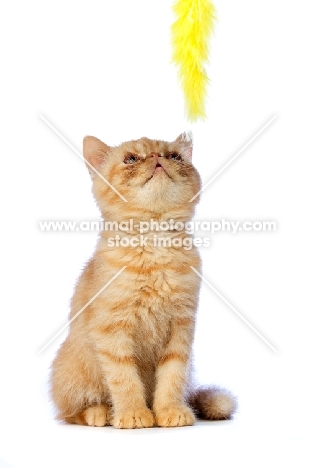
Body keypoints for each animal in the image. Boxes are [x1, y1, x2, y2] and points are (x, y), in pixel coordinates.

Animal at [49, 132, 236, 428]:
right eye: (131, 159)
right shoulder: (111, 330)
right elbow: (124, 378)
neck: (154, 242)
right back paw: (100, 413)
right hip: (74, 371)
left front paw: (170, 411)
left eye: (174, 156)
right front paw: (134, 413)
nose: (156, 158)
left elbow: (172, 377)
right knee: (71, 410)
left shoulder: (180, 328)